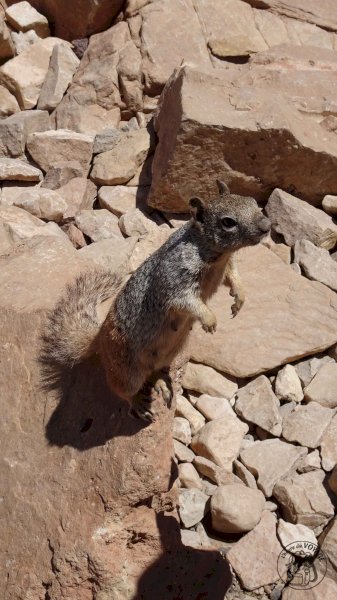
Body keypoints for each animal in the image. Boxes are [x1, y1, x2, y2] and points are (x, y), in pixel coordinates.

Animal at [43, 180, 270, 420]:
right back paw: (139, 404)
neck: (216, 255)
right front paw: (209, 319)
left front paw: (239, 298)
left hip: (170, 353)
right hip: (126, 372)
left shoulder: (226, 267)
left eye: (252, 202)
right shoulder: (174, 279)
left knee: (152, 373)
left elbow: (233, 278)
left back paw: (161, 382)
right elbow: (187, 301)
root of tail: (98, 340)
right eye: (228, 222)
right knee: (120, 388)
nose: (267, 226)